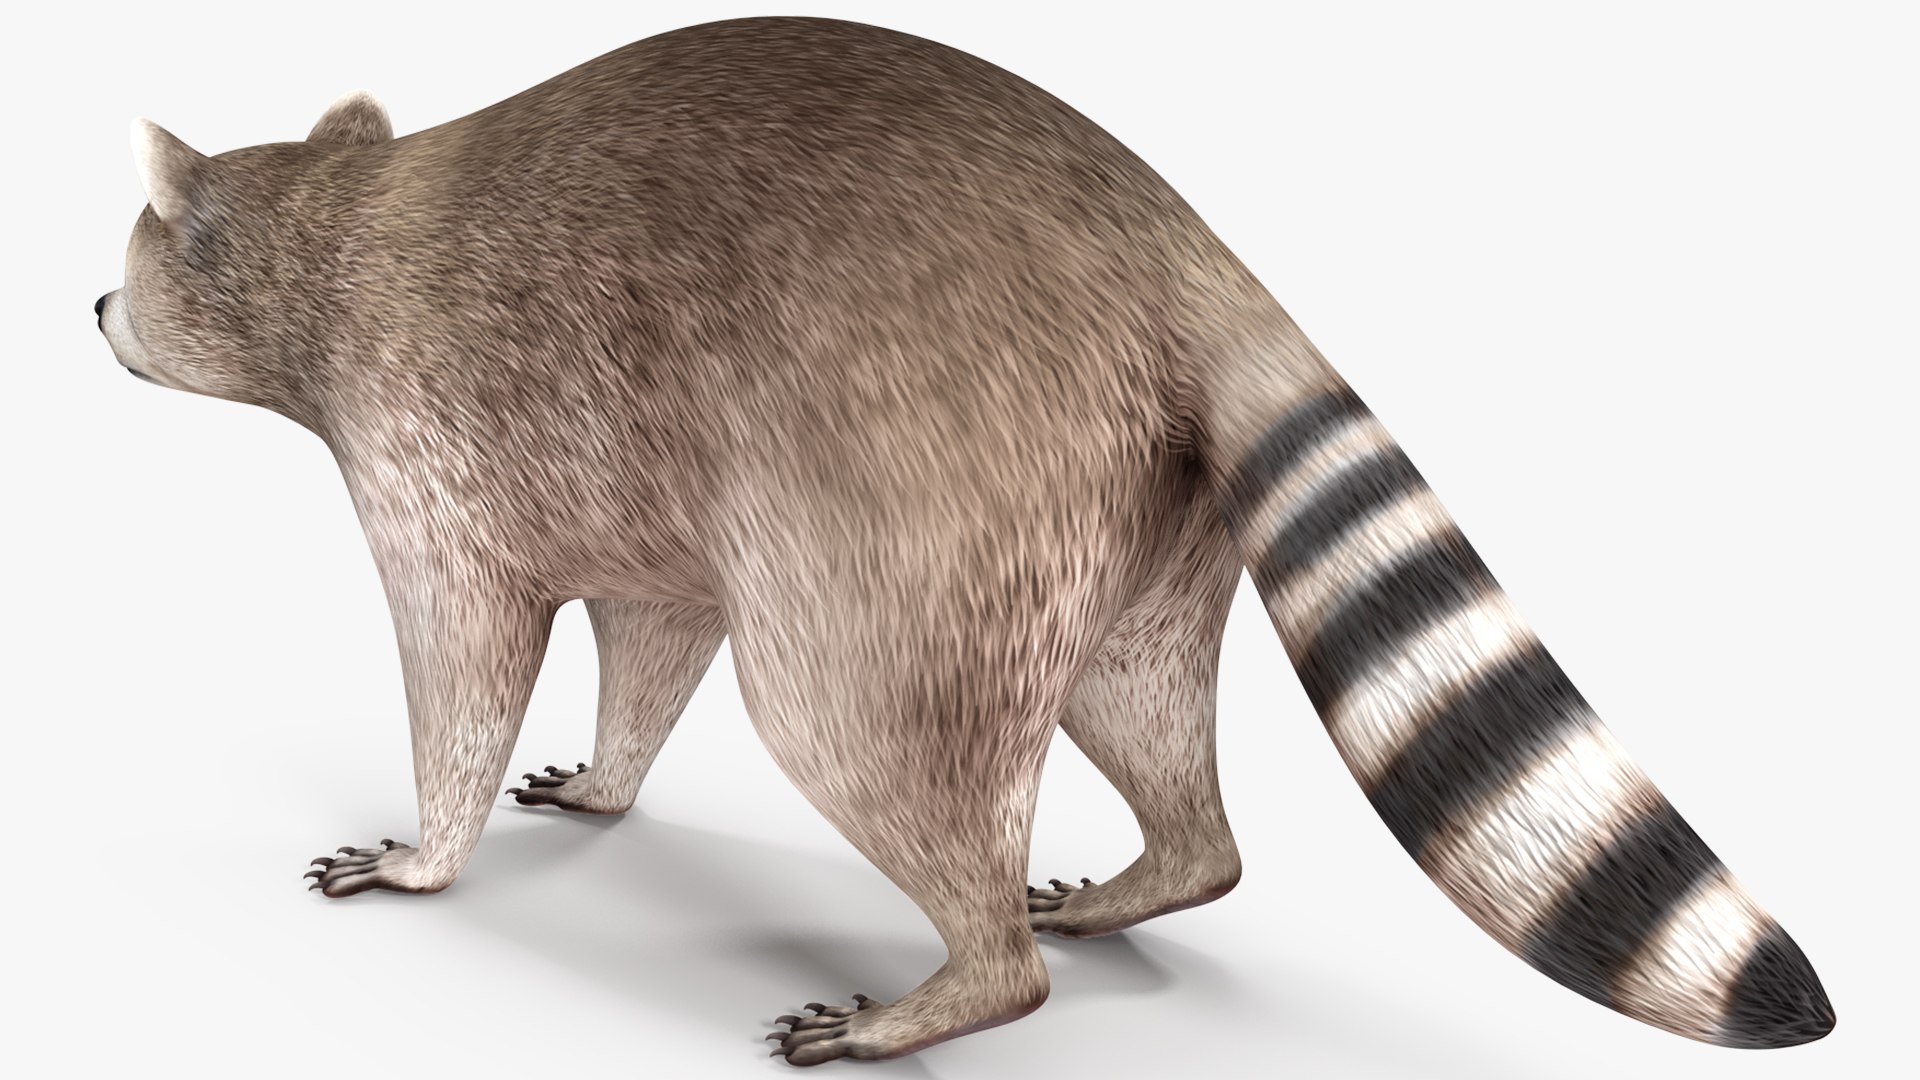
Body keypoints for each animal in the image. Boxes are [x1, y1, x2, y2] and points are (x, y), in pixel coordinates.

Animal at [95, 15, 1832, 1065]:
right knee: (1133, 704)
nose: (95, 307)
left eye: (139, 249)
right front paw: (609, 772)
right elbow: (655, 634)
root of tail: (1164, 230)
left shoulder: (427, 434)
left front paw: (425, 848)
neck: (339, 225)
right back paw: (1166, 862)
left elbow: (464, 654)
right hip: (1137, 500)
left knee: (853, 719)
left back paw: (973, 976)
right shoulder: (636, 476)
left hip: (926, 475)